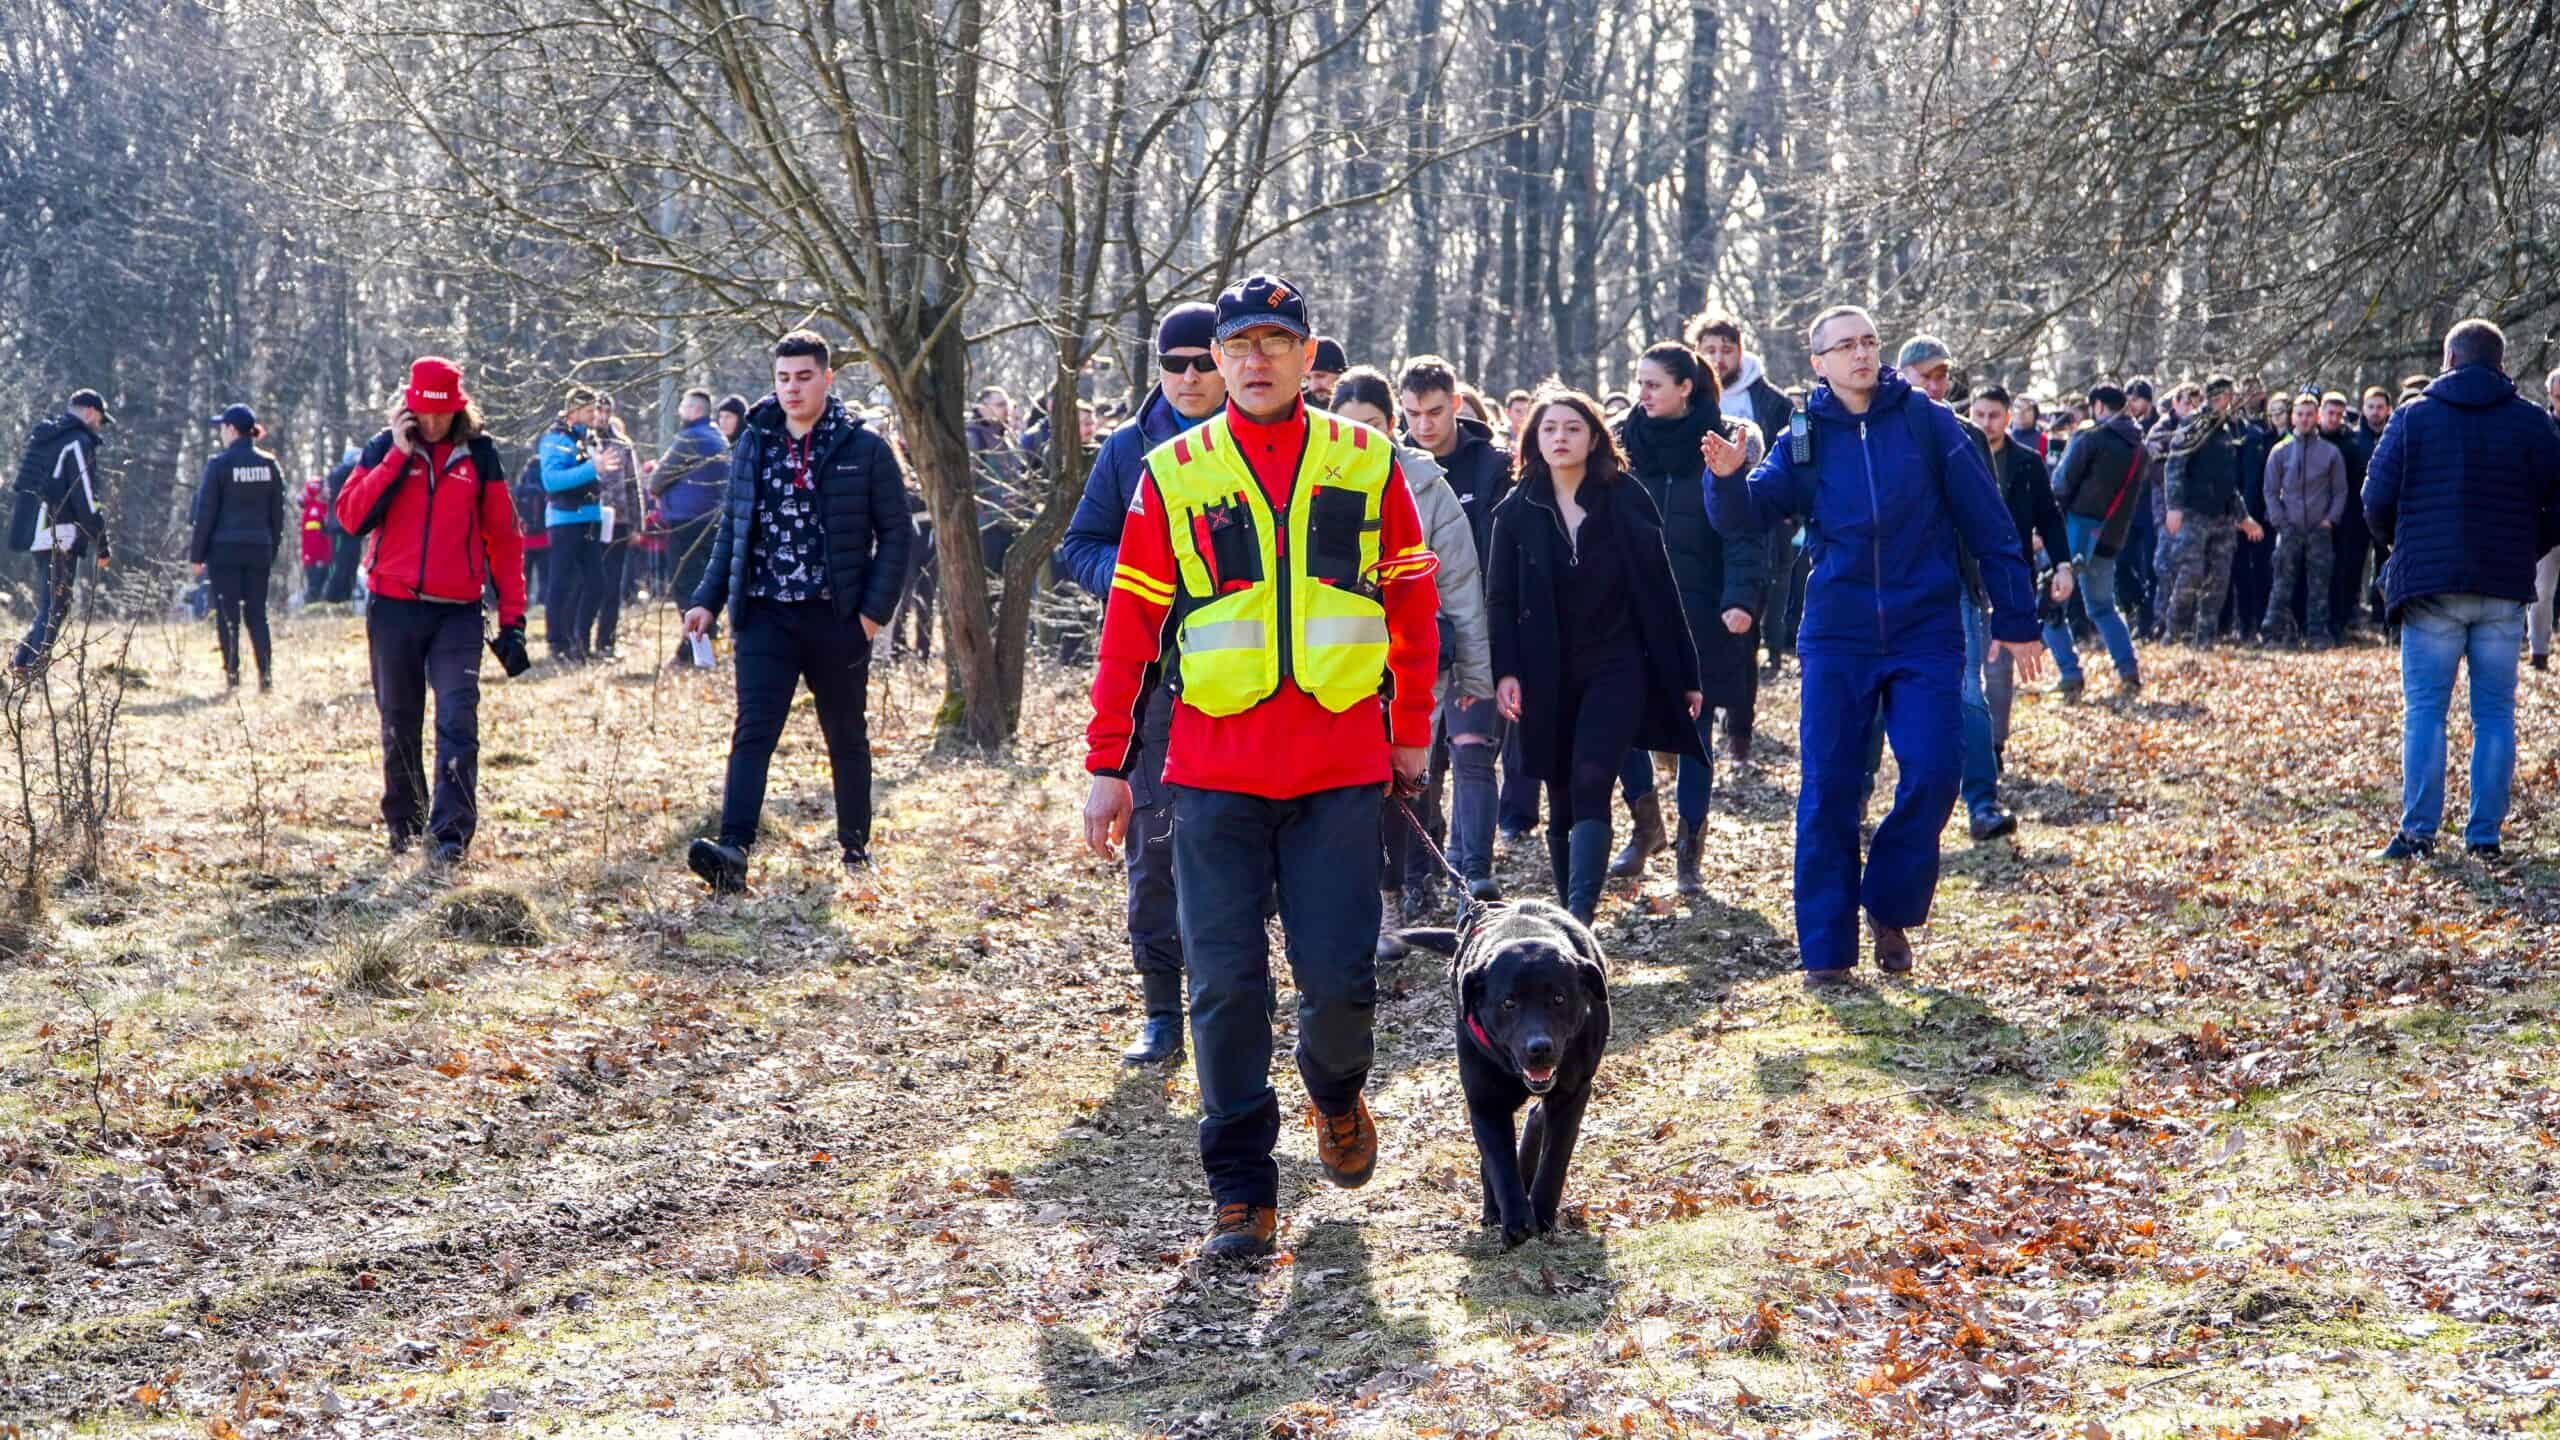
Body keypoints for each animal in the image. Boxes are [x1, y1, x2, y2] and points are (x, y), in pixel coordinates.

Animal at [1413, 896, 1607, 1245]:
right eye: (1508, 1003)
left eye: (1559, 998)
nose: (1539, 1047)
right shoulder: (1485, 1102)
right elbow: (1500, 1162)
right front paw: (1516, 1222)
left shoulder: (1573, 1092)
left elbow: (1555, 1158)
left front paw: (1541, 1215)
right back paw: (1494, 1209)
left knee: (1537, 1119)